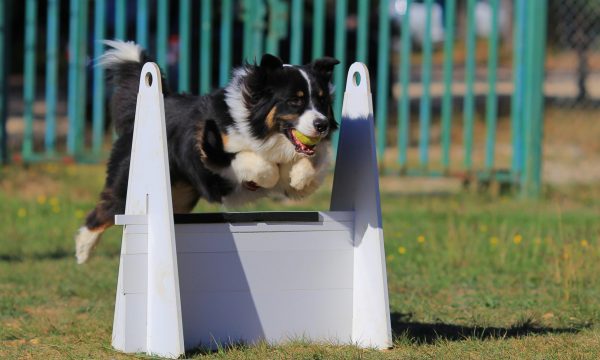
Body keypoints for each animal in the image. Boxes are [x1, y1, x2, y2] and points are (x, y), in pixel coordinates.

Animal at [73, 40, 340, 262]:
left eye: (322, 101)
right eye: (295, 101)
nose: (322, 125)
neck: (265, 130)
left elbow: (313, 162)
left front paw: (298, 178)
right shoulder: (210, 153)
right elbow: (257, 163)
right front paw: (267, 176)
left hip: (179, 197)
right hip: (128, 185)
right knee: (103, 212)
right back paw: (82, 251)